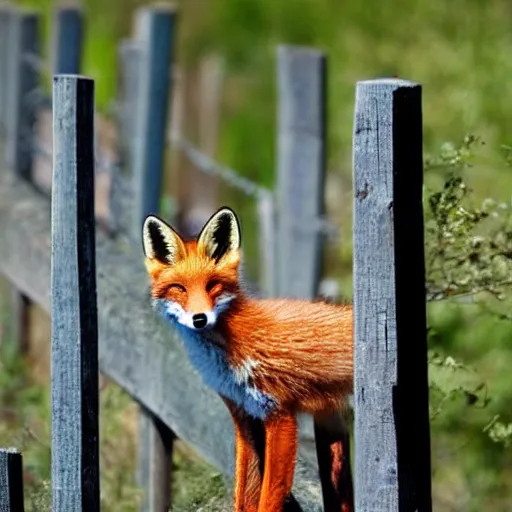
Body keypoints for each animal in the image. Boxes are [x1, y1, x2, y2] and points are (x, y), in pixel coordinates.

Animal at [142, 206, 354, 510]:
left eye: (213, 285)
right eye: (179, 288)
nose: (199, 319)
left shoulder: (280, 415)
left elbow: (269, 497)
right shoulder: (244, 415)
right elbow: (245, 492)